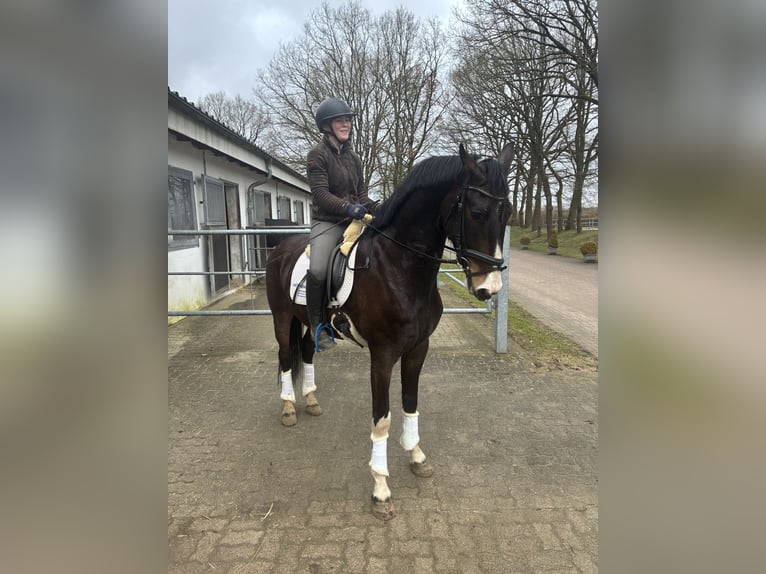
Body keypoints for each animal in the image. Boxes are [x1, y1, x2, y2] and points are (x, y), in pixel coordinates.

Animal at [265, 142, 515, 519]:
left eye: (508, 212)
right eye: (477, 211)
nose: (490, 287)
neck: (398, 266)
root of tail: (279, 248)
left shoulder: (418, 349)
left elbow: (410, 403)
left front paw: (417, 456)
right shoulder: (382, 355)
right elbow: (381, 418)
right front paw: (381, 488)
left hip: (307, 320)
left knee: (307, 351)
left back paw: (310, 400)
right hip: (281, 318)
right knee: (284, 356)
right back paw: (288, 408)